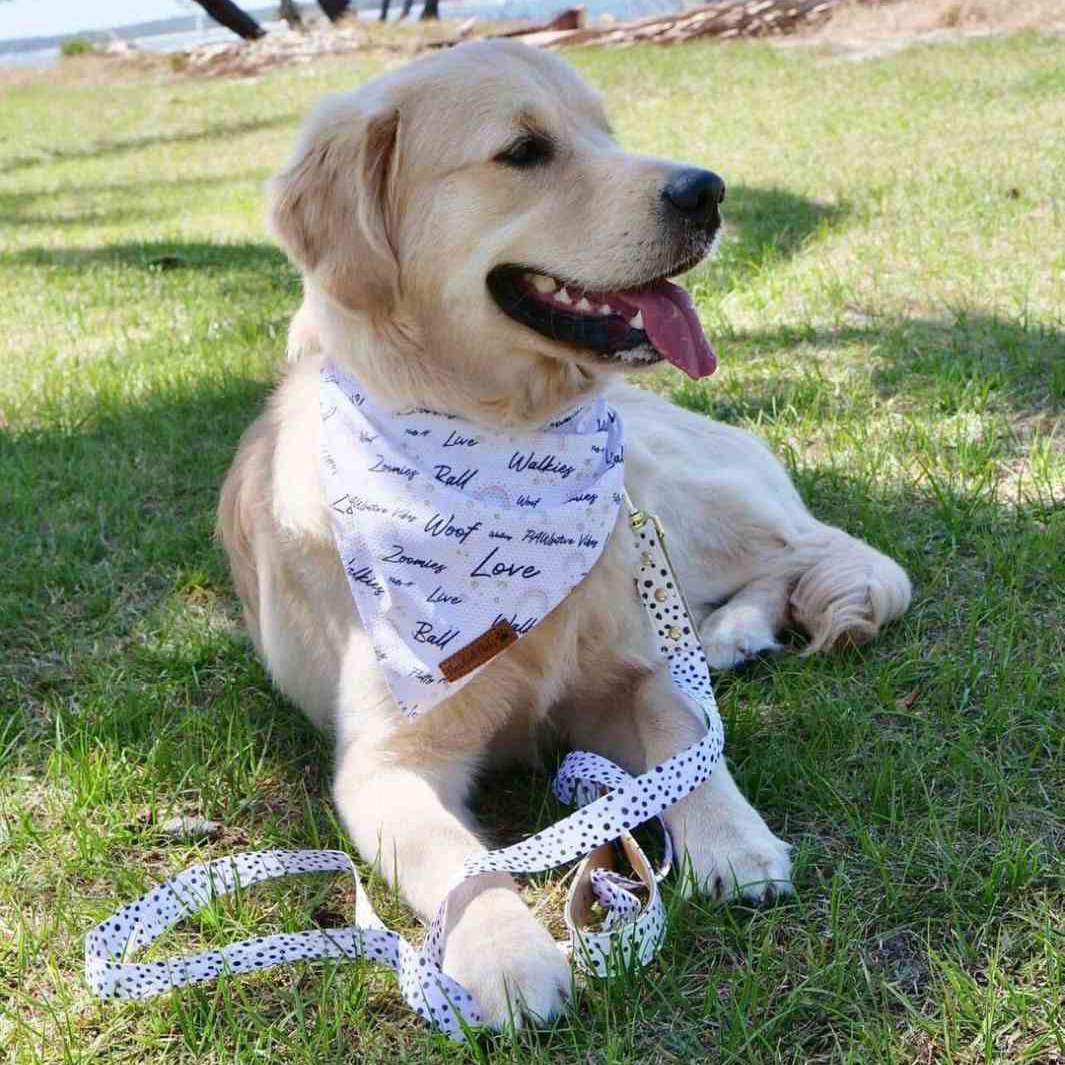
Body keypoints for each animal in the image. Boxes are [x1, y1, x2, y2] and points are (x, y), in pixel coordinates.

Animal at [218, 39, 915, 1022]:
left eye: (605, 132)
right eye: (523, 151)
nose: (706, 190)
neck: (496, 443)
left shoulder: (620, 674)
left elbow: (685, 736)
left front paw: (732, 839)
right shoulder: (384, 764)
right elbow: (457, 856)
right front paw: (507, 955)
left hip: (665, 499)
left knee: (807, 550)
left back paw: (733, 633)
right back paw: (732, 633)